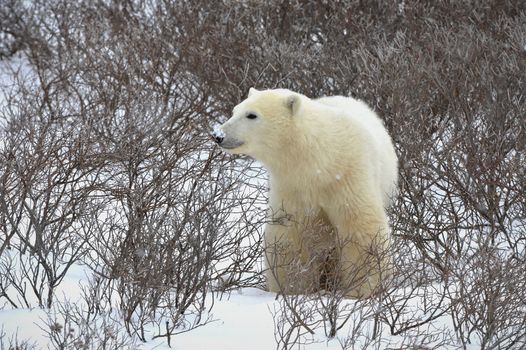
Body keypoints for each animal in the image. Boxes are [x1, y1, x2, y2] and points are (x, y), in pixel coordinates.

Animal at [214, 88, 400, 298]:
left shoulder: (349, 175)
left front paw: (363, 289)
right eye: (234, 111)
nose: (218, 135)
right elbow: (289, 234)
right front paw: (293, 289)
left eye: (252, 115)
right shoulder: (292, 187)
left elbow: (360, 227)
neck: (319, 159)